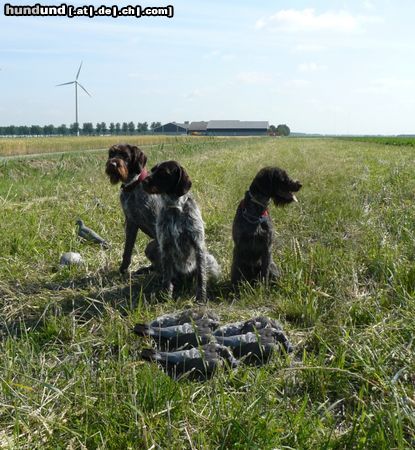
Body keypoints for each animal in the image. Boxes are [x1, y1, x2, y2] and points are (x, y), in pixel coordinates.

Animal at [105, 142, 162, 272]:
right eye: (111, 154)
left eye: (125, 155)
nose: (112, 164)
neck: (133, 186)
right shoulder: (131, 223)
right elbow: (127, 249)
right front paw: (123, 269)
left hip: (151, 245)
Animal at [142, 160, 221, 300]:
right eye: (152, 170)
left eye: (163, 172)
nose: (142, 181)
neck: (175, 207)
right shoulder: (165, 246)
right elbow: (167, 277)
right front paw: (166, 296)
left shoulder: (198, 244)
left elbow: (201, 276)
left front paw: (201, 297)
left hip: (210, 259)